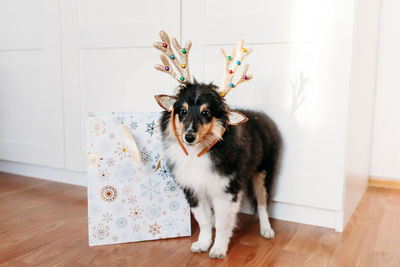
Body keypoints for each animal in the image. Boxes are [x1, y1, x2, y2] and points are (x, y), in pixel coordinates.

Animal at [158, 81, 282, 260]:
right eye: (183, 111)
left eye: (206, 113)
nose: (189, 137)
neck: (199, 151)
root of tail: (263, 116)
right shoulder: (194, 190)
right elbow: (203, 221)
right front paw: (203, 244)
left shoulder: (226, 191)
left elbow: (223, 224)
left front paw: (218, 249)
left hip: (263, 173)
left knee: (262, 203)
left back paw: (266, 229)